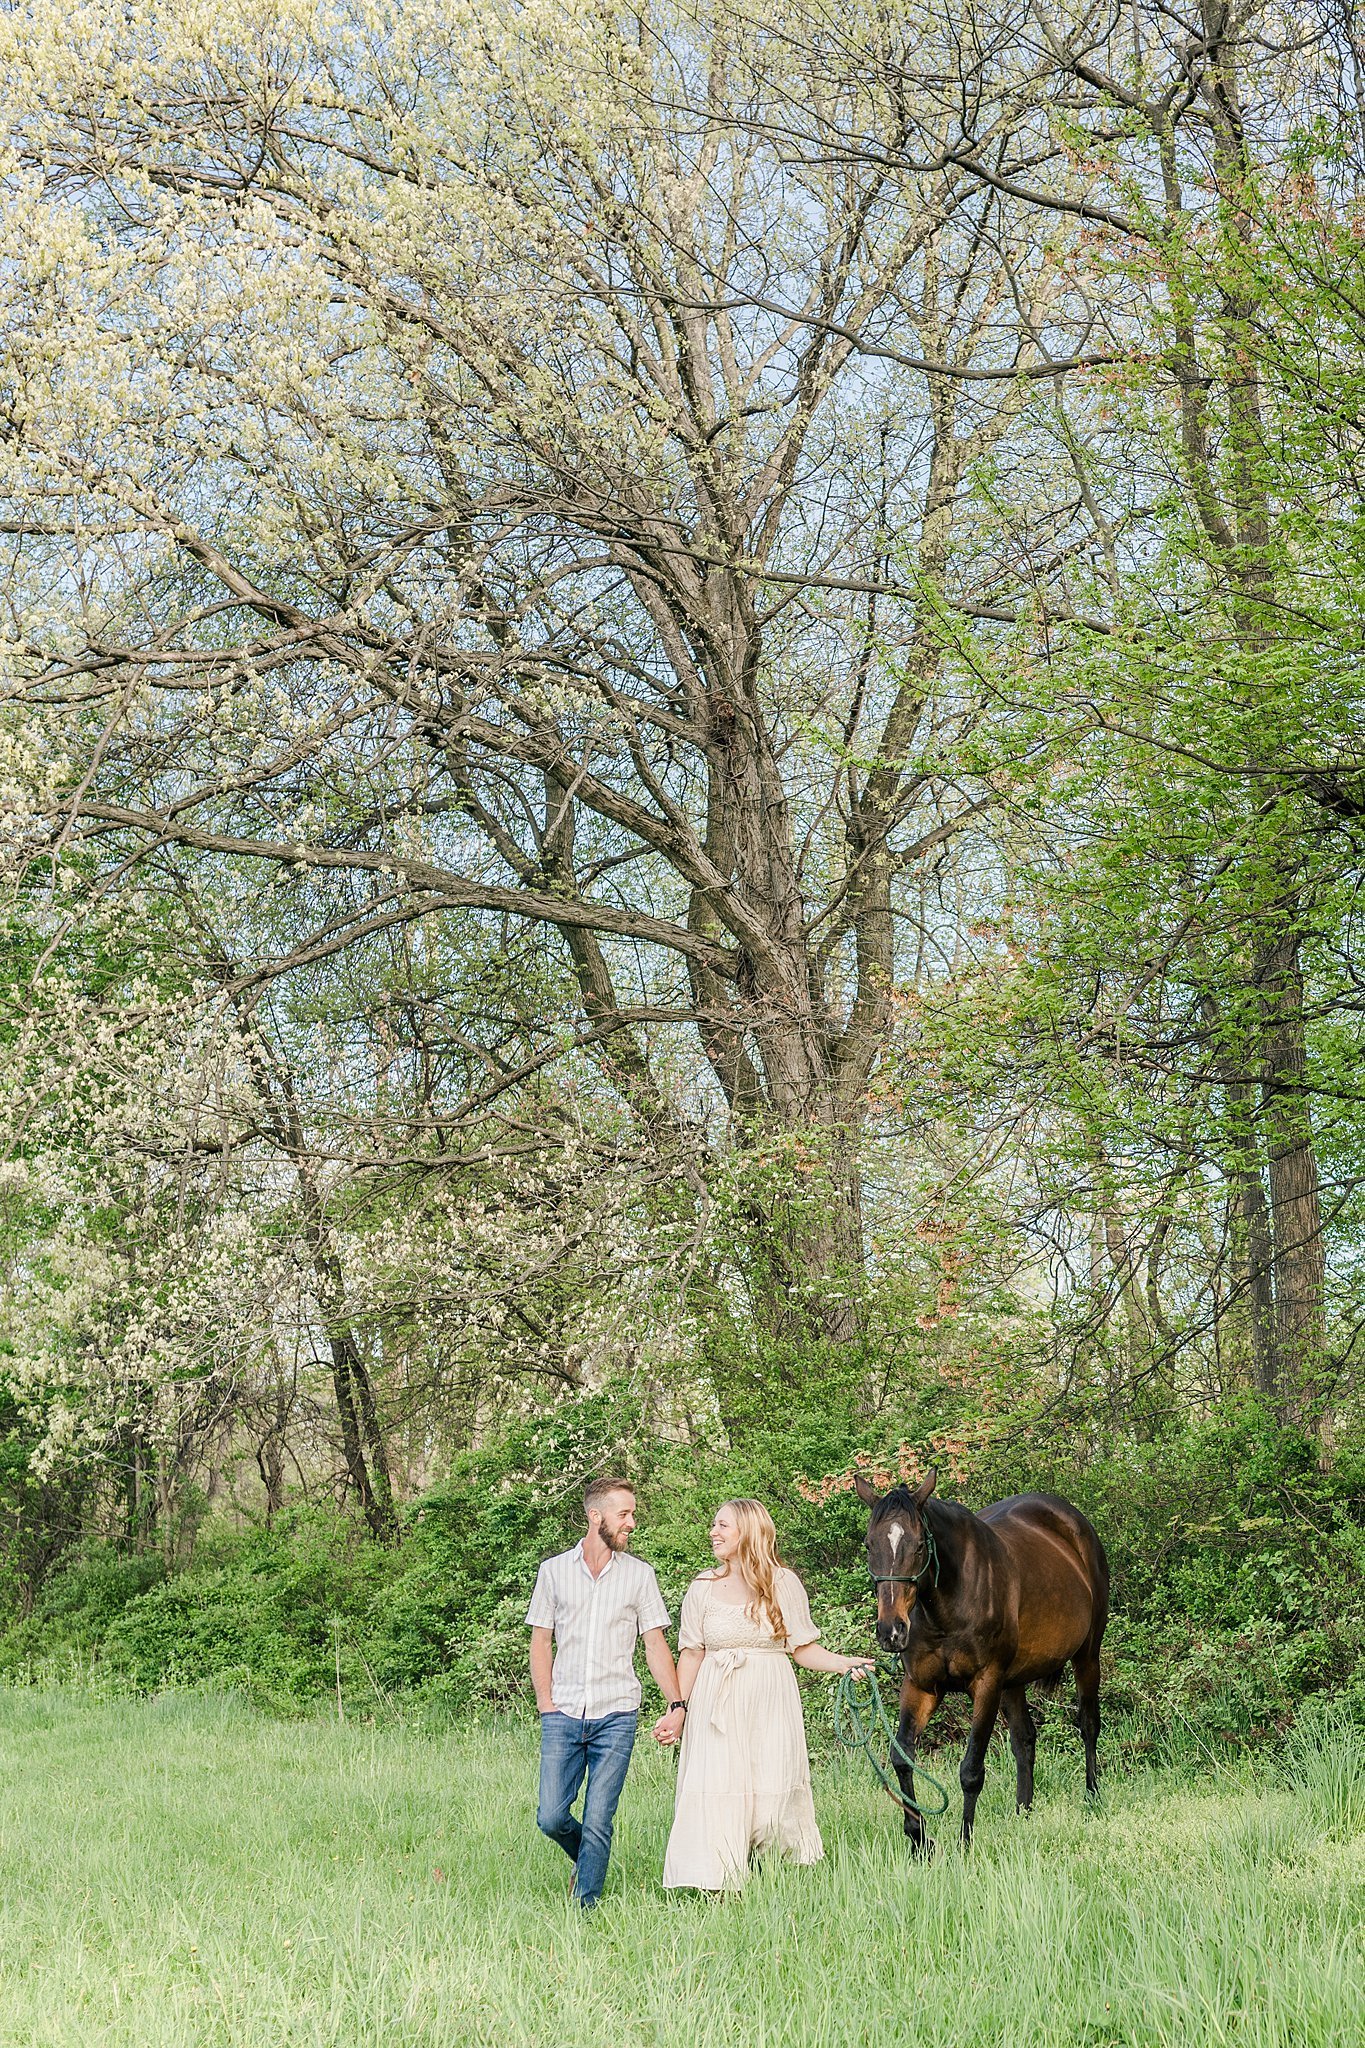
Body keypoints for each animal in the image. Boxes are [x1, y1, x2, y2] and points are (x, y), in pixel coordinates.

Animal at [863, 1466, 1113, 1851]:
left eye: (919, 1545)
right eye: (869, 1545)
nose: (891, 1631)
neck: (950, 1604)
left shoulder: (986, 1685)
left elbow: (971, 1770)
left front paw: (964, 1842)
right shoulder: (920, 1686)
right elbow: (902, 1758)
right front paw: (918, 1840)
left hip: (1087, 1656)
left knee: (1088, 1725)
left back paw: (1092, 1798)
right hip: (1014, 1681)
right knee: (1024, 1740)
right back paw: (1023, 1811)